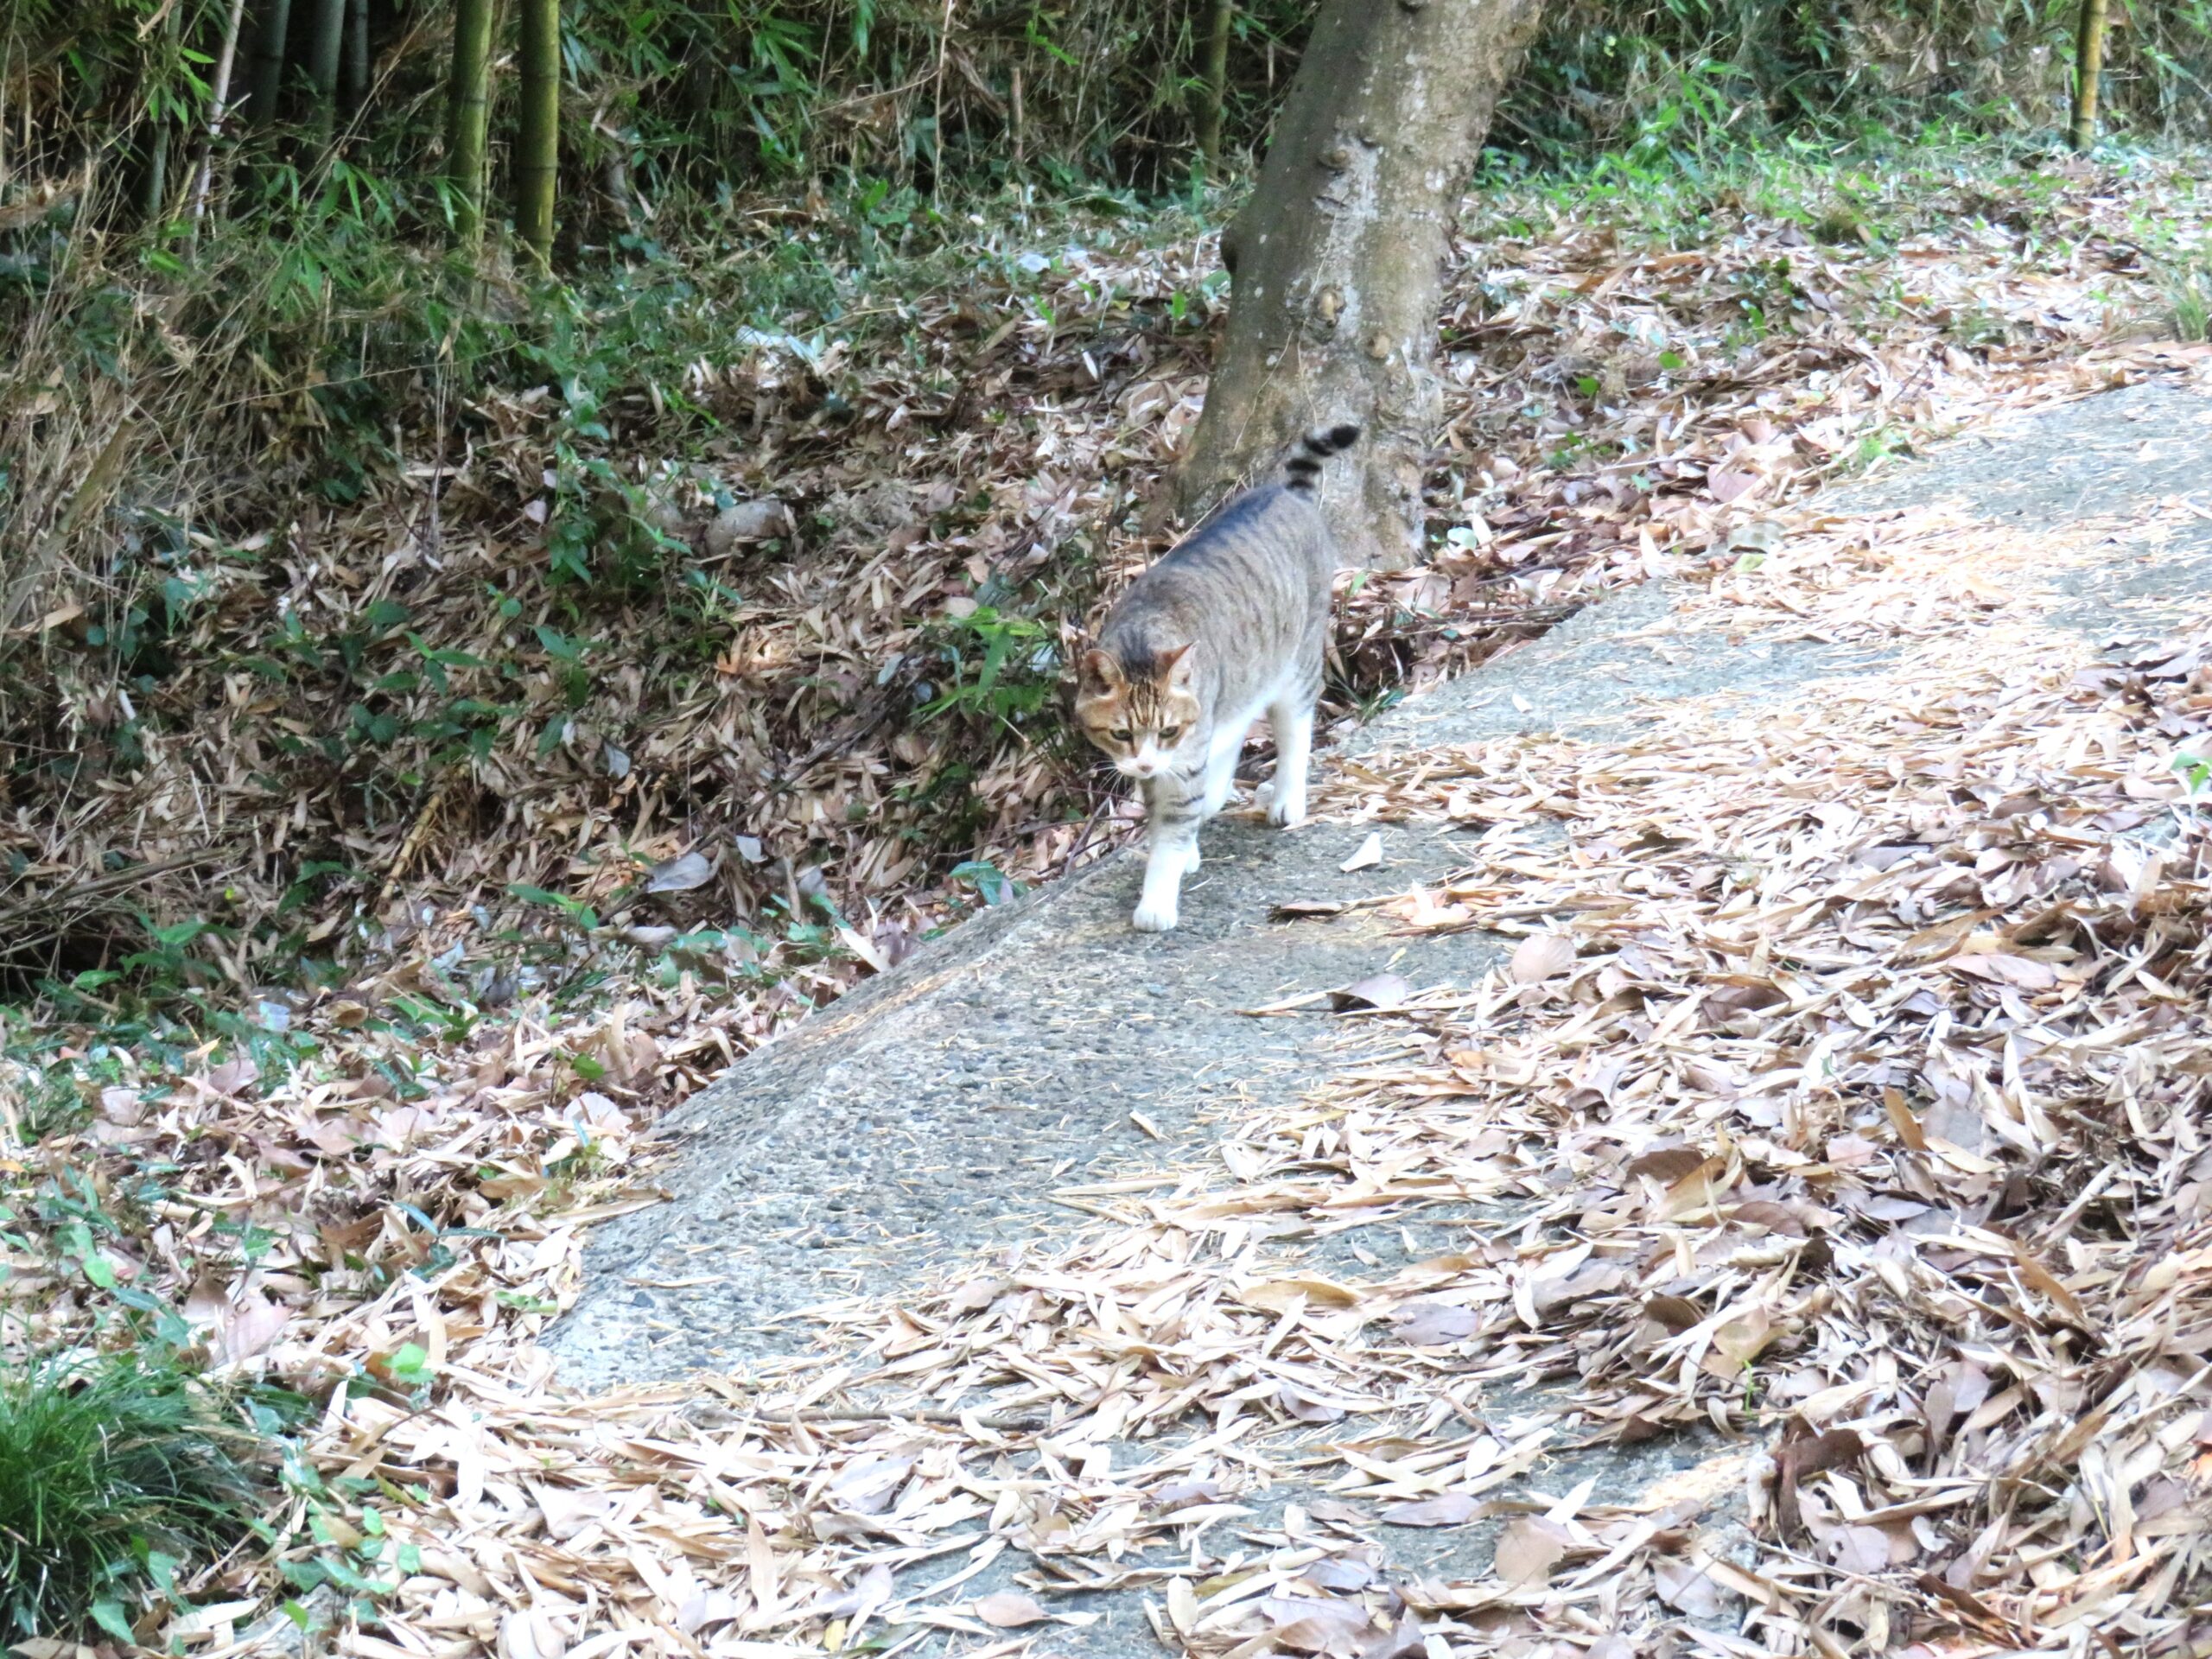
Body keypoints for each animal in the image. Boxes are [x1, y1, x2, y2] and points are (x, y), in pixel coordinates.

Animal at [1075, 422, 1362, 938]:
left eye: (1168, 729)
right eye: (1121, 734)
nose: (1144, 763)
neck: (1141, 637)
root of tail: (1287, 493)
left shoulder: (1182, 758)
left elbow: (1171, 830)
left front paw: (1158, 898)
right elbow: (1164, 814)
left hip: (1297, 667)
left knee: (1295, 732)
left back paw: (1286, 800)